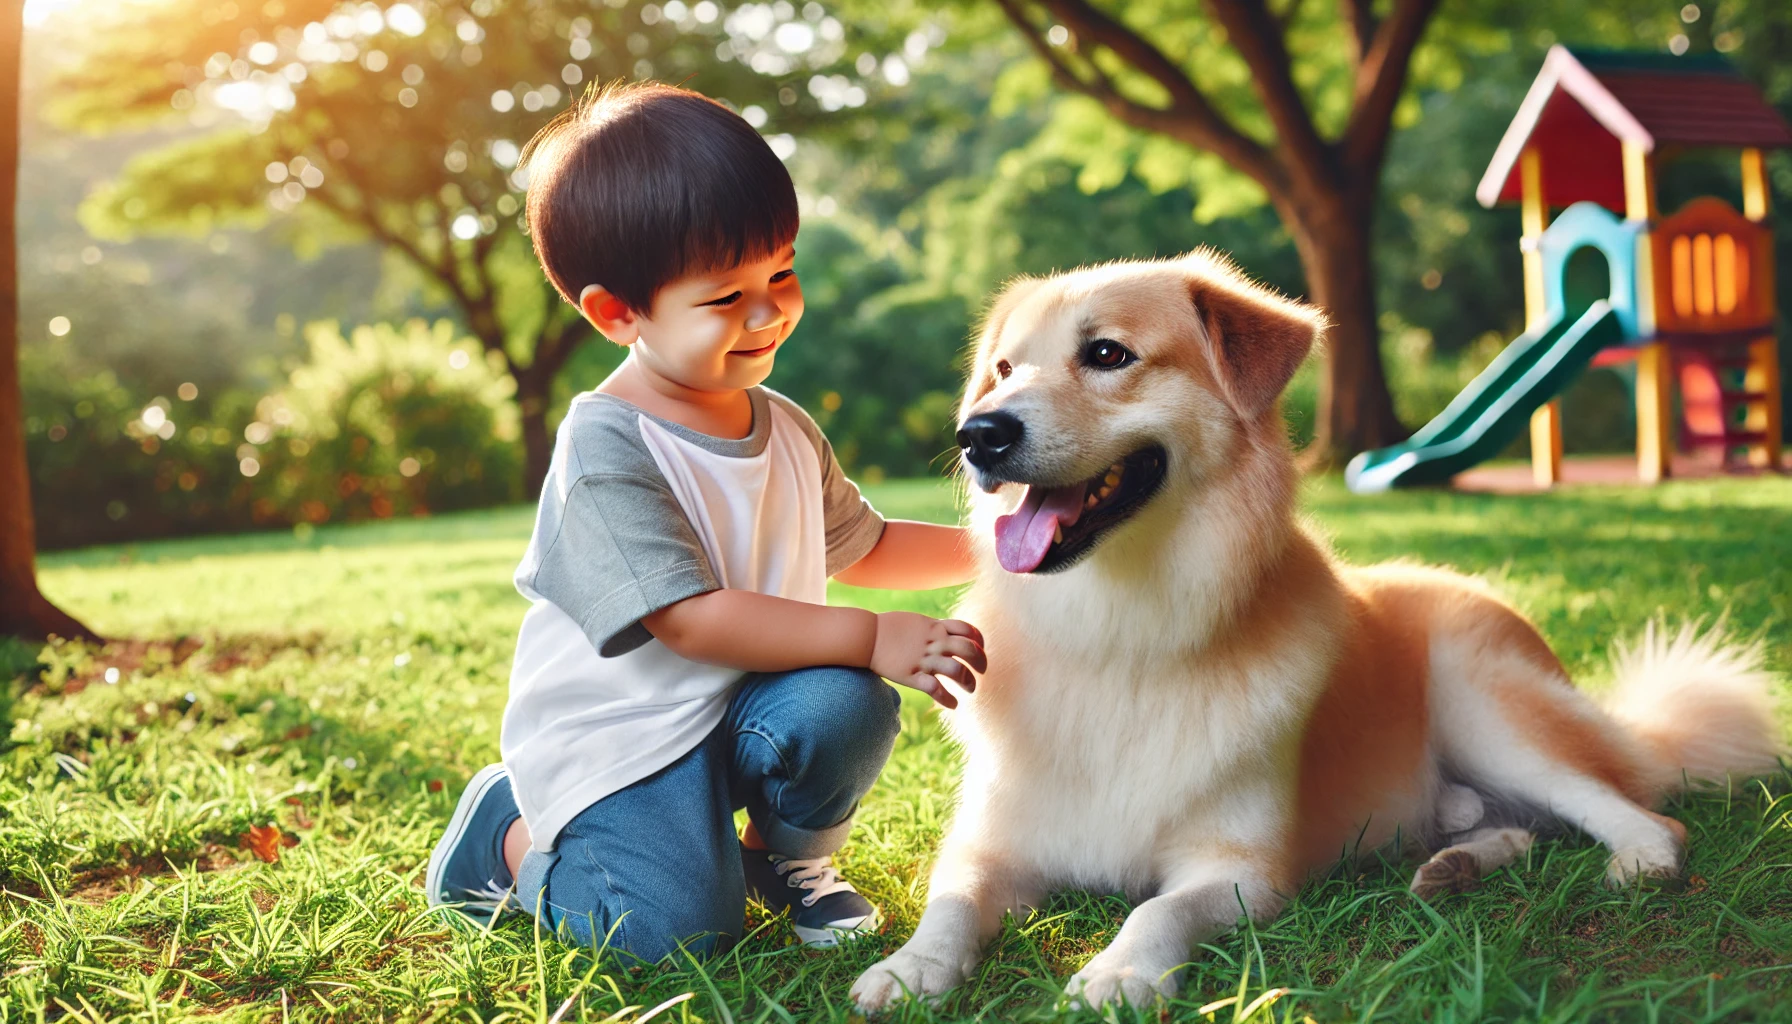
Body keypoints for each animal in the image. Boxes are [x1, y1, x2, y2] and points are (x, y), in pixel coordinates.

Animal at [849, 252, 1777, 1011]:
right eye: (1004, 369)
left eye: (1108, 355)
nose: (978, 435)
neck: (1120, 634)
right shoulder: (991, 841)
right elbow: (950, 900)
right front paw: (910, 967)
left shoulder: (1244, 873)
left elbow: (1155, 911)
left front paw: (1119, 972)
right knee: (1518, 824)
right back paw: (1454, 865)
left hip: (1490, 708)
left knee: (1637, 814)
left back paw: (1635, 862)